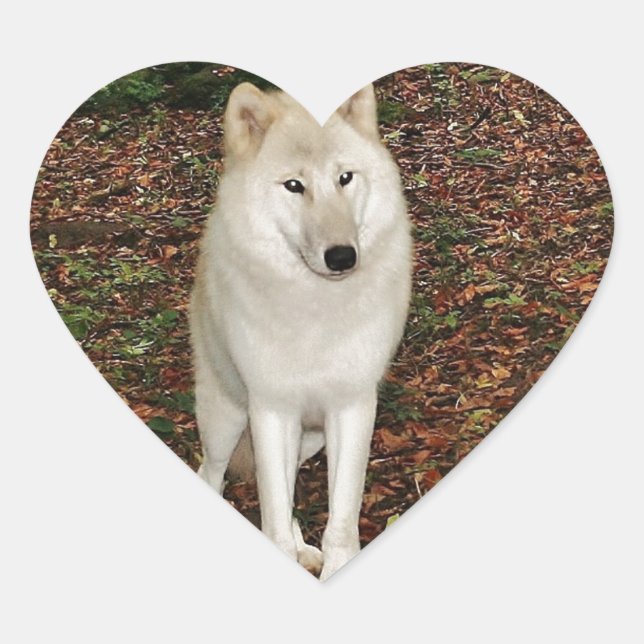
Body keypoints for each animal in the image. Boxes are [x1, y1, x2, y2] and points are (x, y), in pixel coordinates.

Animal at [189, 81, 412, 580]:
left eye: (345, 178)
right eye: (295, 185)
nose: (342, 257)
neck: (315, 314)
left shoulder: (352, 407)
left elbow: (340, 519)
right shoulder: (272, 409)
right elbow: (272, 514)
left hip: (310, 438)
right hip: (226, 418)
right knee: (210, 474)